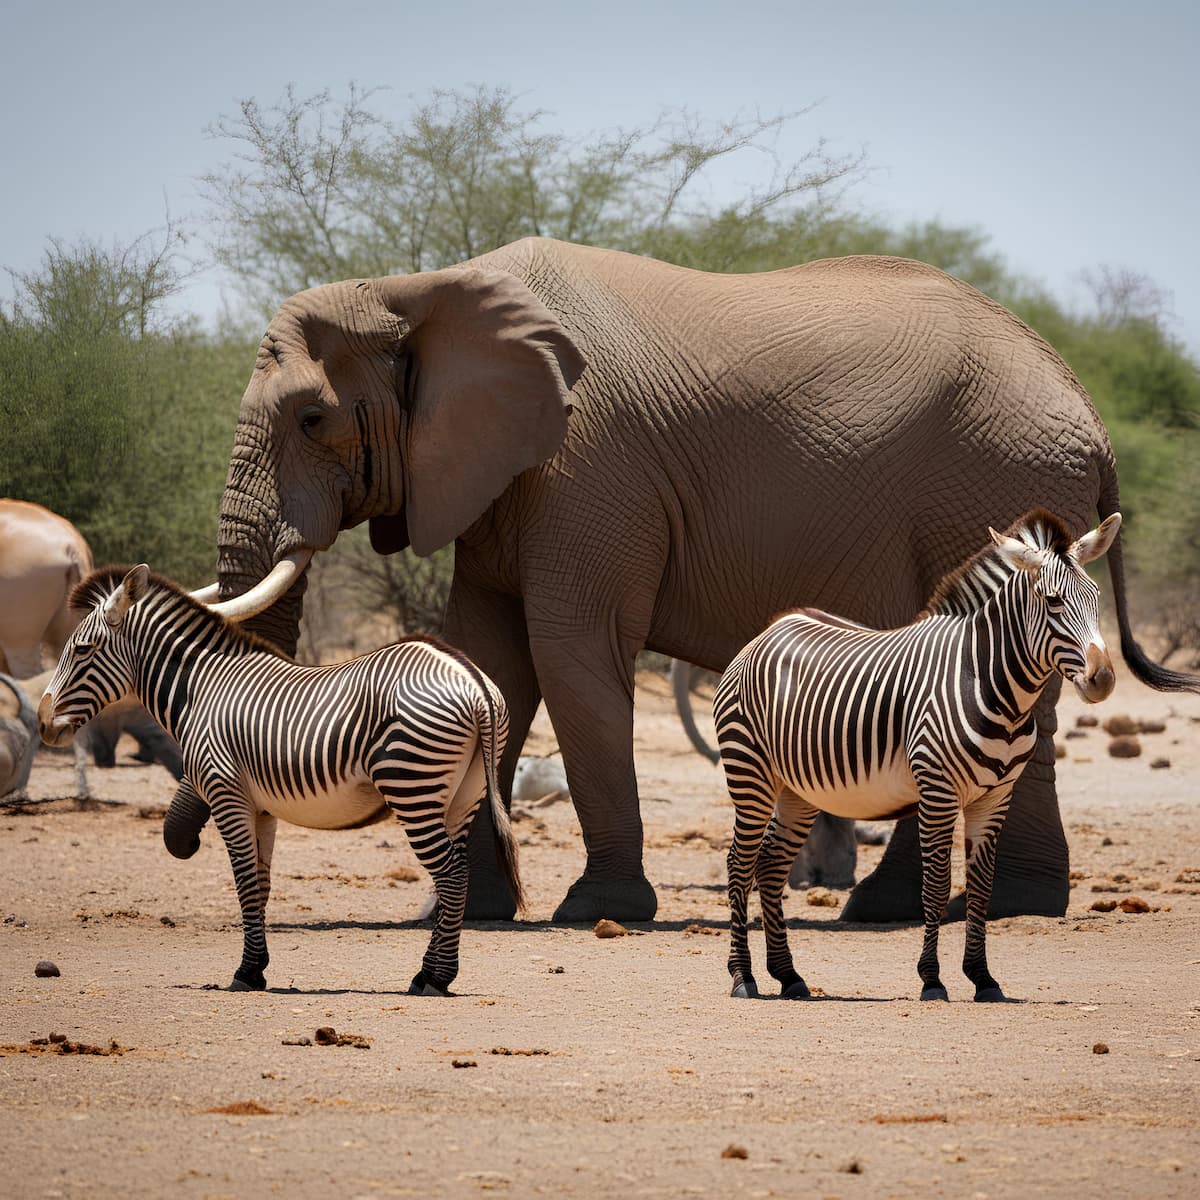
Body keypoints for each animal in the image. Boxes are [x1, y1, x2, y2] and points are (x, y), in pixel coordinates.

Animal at [38, 561, 520, 993]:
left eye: (81, 649)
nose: (43, 724)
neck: (201, 690)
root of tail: (470, 678)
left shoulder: (226, 793)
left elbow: (244, 881)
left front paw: (246, 973)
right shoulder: (262, 808)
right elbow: (263, 883)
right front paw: (258, 967)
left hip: (412, 784)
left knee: (451, 873)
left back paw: (435, 979)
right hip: (463, 794)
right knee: (457, 872)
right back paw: (429, 973)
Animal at [206, 236, 1190, 926]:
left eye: (312, 418)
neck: (419, 289)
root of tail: (1089, 414)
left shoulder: (588, 467)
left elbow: (571, 650)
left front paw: (595, 912)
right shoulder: (495, 474)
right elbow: (487, 657)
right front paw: (465, 912)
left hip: (993, 481)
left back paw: (928, 910)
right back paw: (971, 907)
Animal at [705, 506, 1118, 1003]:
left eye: (1096, 598)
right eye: (1053, 601)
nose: (1103, 679)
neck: (990, 683)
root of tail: (769, 630)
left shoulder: (995, 797)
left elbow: (981, 890)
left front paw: (984, 979)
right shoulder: (938, 791)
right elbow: (936, 886)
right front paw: (932, 980)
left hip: (796, 790)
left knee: (769, 865)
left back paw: (788, 976)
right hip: (750, 771)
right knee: (739, 863)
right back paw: (743, 977)